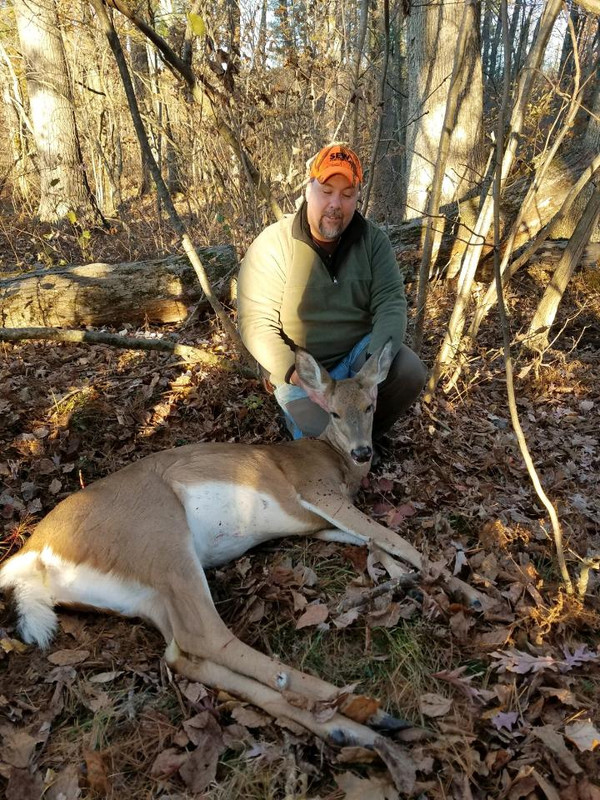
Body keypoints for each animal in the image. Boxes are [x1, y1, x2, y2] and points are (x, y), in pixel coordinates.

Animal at [0, 342, 480, 748]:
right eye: (334, 413)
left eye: (370, 405)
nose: (364, 452)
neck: (338, 465)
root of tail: (32, 552)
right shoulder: (316, 491)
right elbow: (391, 535)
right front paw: (469, 593)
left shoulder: (316, 523)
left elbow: (375, 541)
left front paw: (412, 582)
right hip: (161, 536)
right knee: (207, 635)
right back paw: (360, 710)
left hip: (143, 594)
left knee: (182, 653)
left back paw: (356, 730)